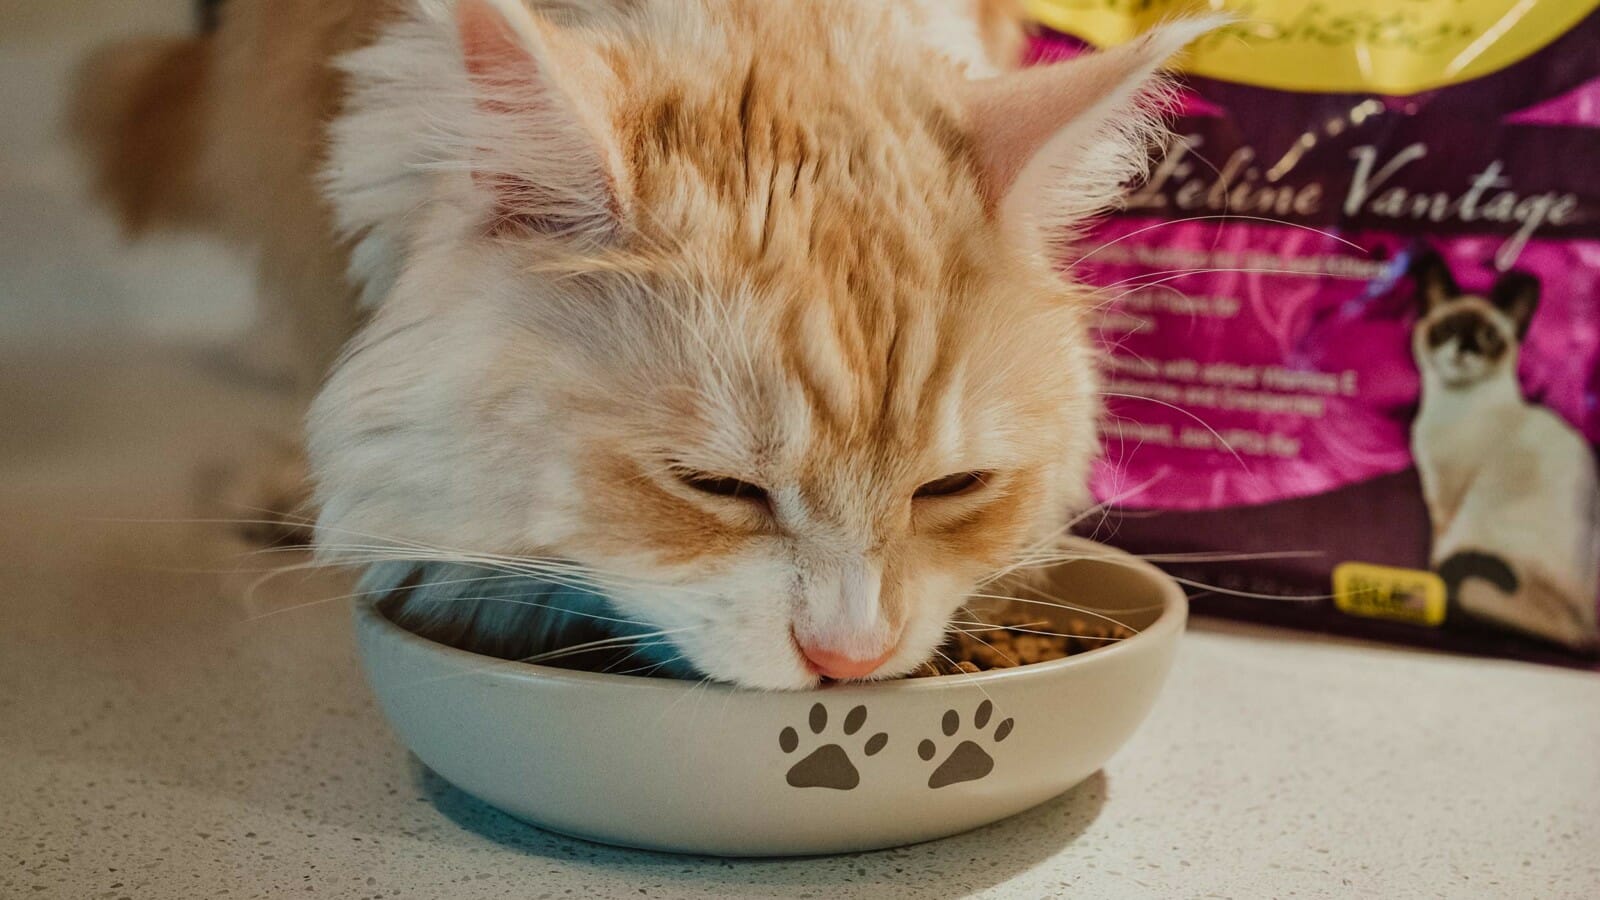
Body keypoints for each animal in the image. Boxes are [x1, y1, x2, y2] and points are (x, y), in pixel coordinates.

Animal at [1414, 248, 1600, 646]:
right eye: (1450, 329)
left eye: (1487, 336)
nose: (1466, 349)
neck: (1452, 406)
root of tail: (1588, 633)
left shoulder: (1446, 500)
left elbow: (1435, 556)